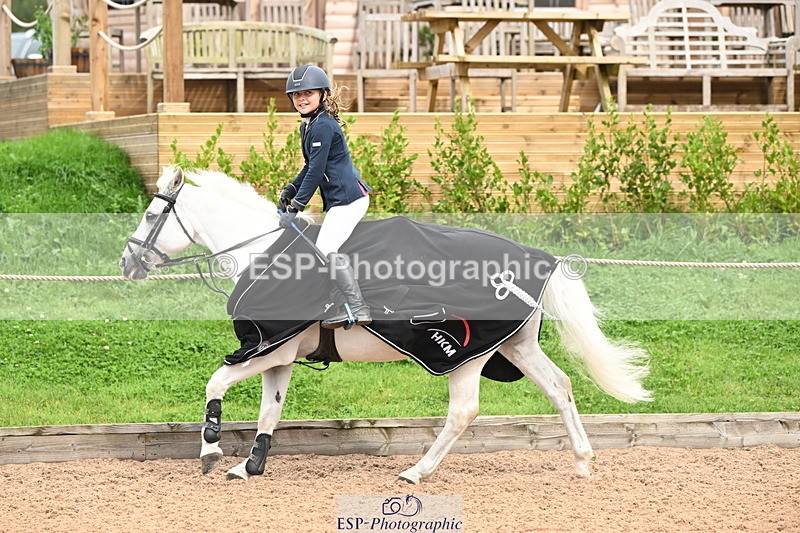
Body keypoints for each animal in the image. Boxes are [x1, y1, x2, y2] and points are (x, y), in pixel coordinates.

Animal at [119, 166, 652, 483]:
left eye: (151, 214)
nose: (127, 264)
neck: (261, 251)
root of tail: (535, 256)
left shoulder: (267, 347)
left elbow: (215, 382)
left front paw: (210, 452)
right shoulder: (280, 354)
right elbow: (271, 410)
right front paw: (250, 467)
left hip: (466, 354)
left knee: (463, 410)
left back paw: (417, 471)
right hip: (516, 345)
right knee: (560, 387)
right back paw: (582, 461)